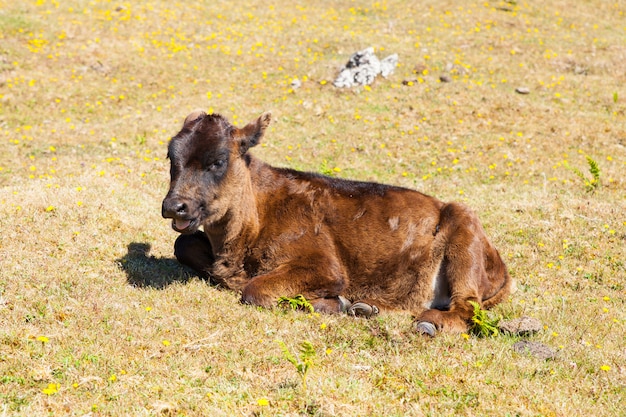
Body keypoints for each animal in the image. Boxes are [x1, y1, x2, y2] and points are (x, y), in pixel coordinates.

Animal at [162, 109, 512, 334]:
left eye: (218, 161)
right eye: (171, 157)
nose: (174, 206)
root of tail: (500, 266)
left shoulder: (323, 266)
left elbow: (254, 290)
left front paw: (338, 303)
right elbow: (184, 243)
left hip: (463, 234)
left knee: (466, 307)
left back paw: (427, 323)